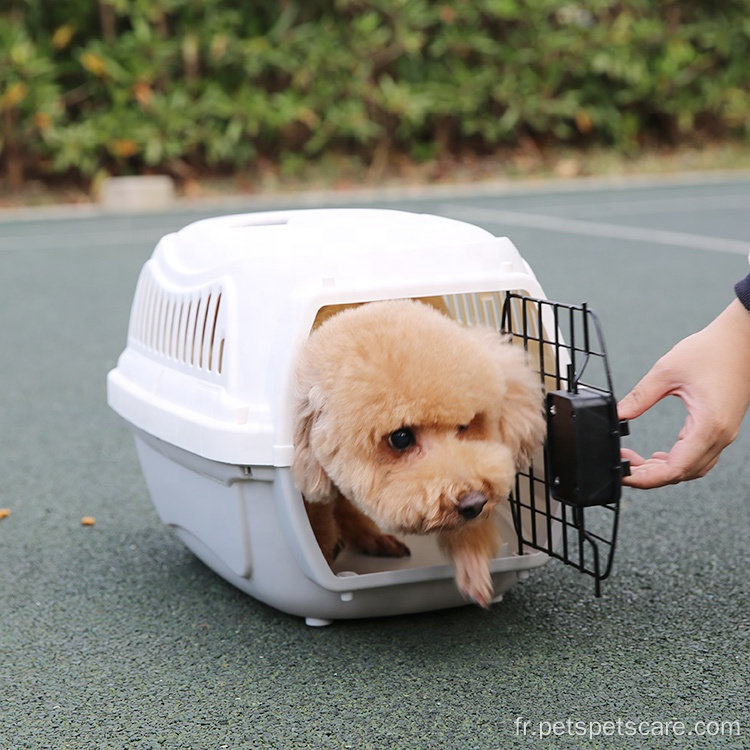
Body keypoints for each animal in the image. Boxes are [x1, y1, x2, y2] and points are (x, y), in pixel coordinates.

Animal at [292, 296, 548, 608]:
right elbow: (317, 511)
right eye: (401, 437)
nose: (474, 503)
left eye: (465, 426)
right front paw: (324, 550)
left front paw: (472, 558)